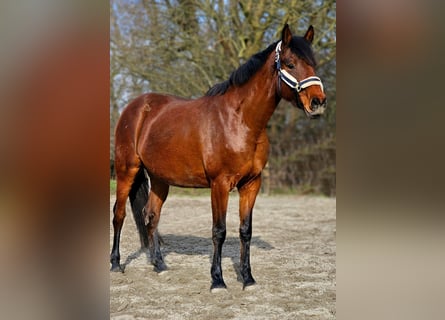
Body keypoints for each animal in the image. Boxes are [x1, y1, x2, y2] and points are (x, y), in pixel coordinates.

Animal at [111, 23, 326, 292]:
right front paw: (218, 281)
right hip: (126, 170)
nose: (318, 103)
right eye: (290, 63)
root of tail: (135, 107)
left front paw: (248, 278)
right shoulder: (219, 184)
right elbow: (219, 231)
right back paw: (115, 264)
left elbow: (245, 230)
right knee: (119, 214)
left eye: (313, 63)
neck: (240, 121)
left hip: (160, 179)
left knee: (151, 216)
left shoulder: (252, 184)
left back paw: (159, 265)